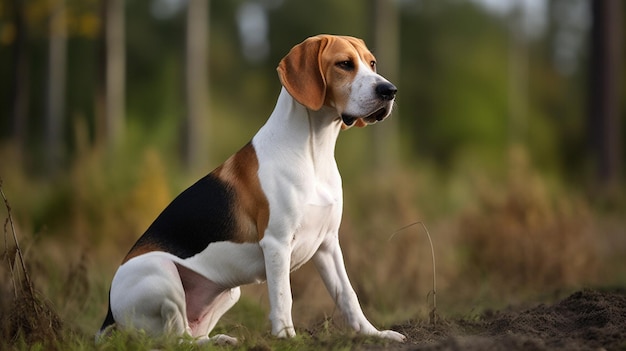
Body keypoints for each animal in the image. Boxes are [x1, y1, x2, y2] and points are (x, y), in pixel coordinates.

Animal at [95, 35, 402, 344]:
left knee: (190, 337)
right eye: (344, 64)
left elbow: (349, 296)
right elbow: (284, 297)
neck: (314, 150)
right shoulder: (277, 243)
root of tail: (107, 318)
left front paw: (374, 333)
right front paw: (287, 338)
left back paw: (221, 340)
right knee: (174, 338)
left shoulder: (328, 244)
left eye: (372, 63)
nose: (390, 91)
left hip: (230, 292)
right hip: (163, 274)